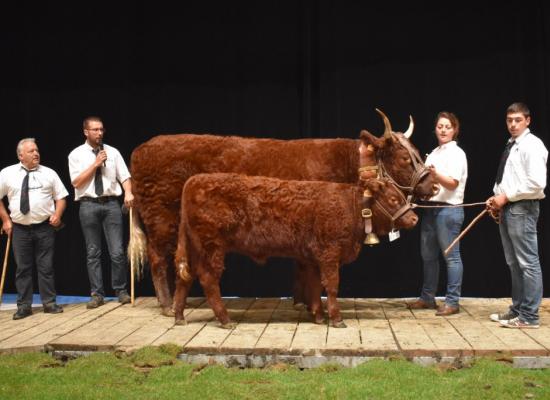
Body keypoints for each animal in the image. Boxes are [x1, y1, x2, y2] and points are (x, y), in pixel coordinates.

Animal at [175, 174, 416, 328]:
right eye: (393, 199)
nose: (414, 218)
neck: (351, 206)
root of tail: (194, 180)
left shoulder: (314, 257)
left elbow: (316, 285)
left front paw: (318, 316)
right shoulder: (330, 254)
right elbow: (332, 286)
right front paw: (336, 319)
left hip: (195, 249)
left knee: (184, 277)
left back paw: (179, 316)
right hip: (212, 248)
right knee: (208, 280)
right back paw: (225, 320)